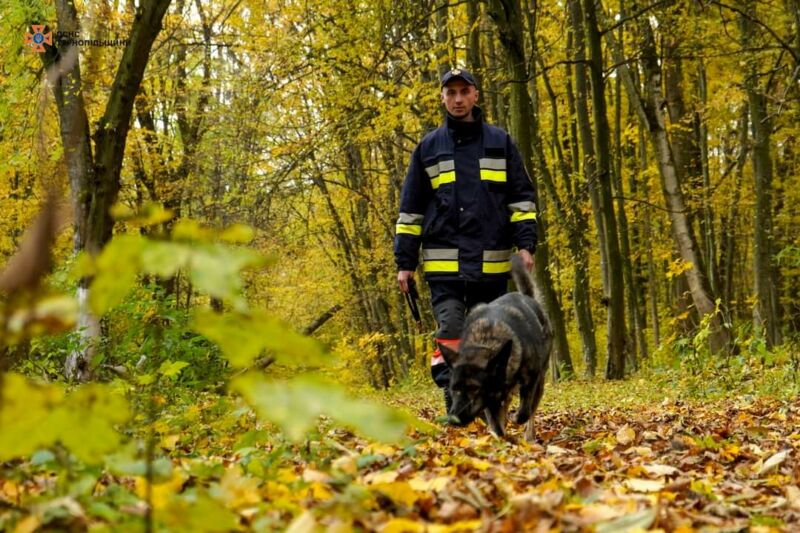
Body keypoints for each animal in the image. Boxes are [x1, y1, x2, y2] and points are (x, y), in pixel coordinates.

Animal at [440, 254, 552, 440]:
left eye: (474, 388)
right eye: (453, 388)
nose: (453, 420)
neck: (487, 338)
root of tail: (528, 297)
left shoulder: (530, 381)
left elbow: (524, 412)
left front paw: (517, 420)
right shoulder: (490, 401)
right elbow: (497, 426)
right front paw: (502, 440)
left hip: (539, 381)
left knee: (531, 411)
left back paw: (529, 436)